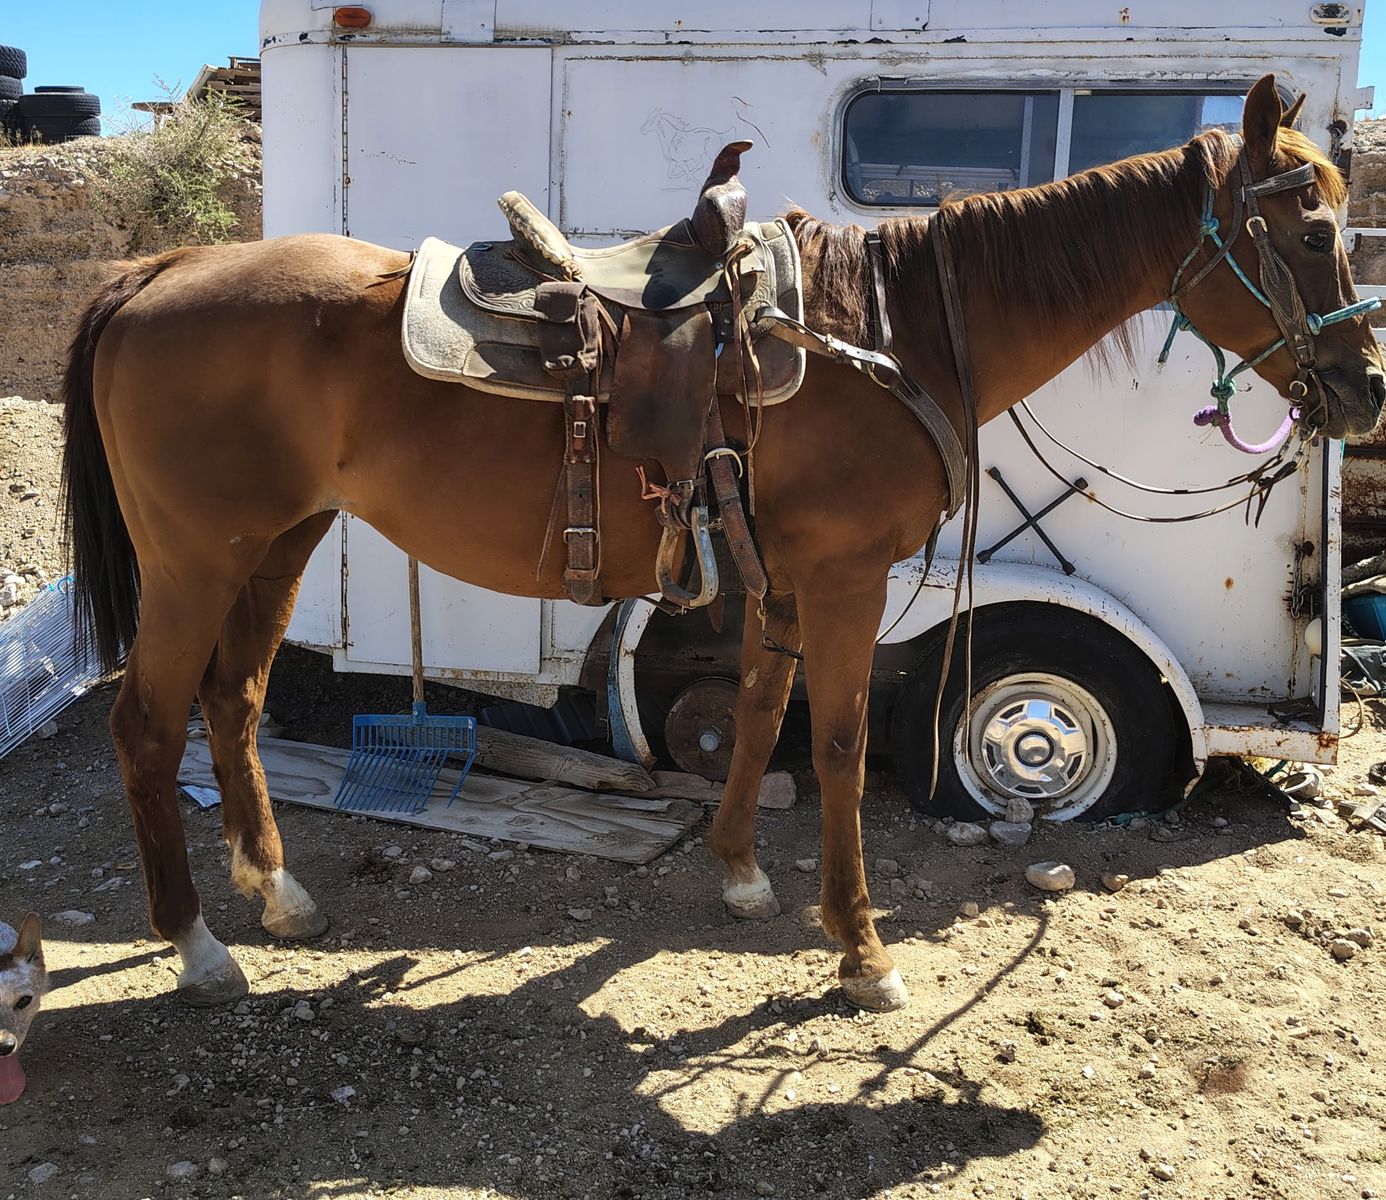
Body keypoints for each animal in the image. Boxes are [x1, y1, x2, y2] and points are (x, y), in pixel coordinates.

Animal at [60, 76, 1383, 1012]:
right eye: (1312, 232)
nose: (1363, 390)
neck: (890, 333)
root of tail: (159, 270)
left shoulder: (781, 579)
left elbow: (755, 710)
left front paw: (743, 874)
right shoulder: (850, 580)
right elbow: (840, 746)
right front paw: (861, 950)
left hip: (279, 541)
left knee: (232, 701)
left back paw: (279, 897)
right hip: (194, 559)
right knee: (148, 722)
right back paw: (200, 949)